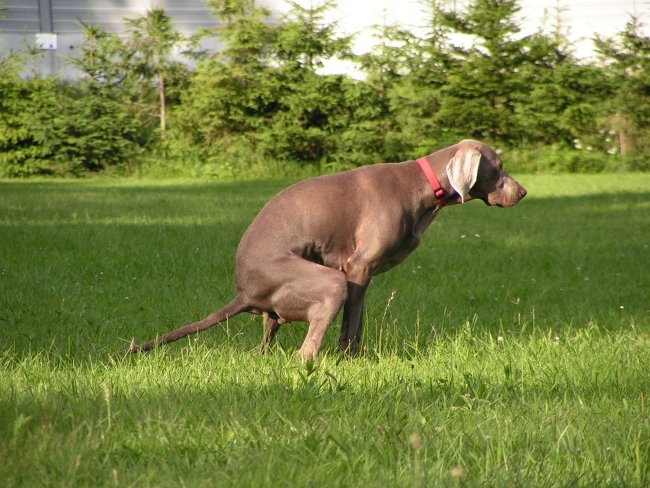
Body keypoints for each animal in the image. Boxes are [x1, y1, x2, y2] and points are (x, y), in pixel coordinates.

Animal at [128, 138, 528, 358]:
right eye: (498, 167)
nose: (523, 192)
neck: (422, 186)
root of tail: (245, 291)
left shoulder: (360, 275)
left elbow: (358, 319)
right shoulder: (356, 269)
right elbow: (349, 326)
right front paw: (347, 359)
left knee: (268, 336)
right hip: (327, 284)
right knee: (304, 353)